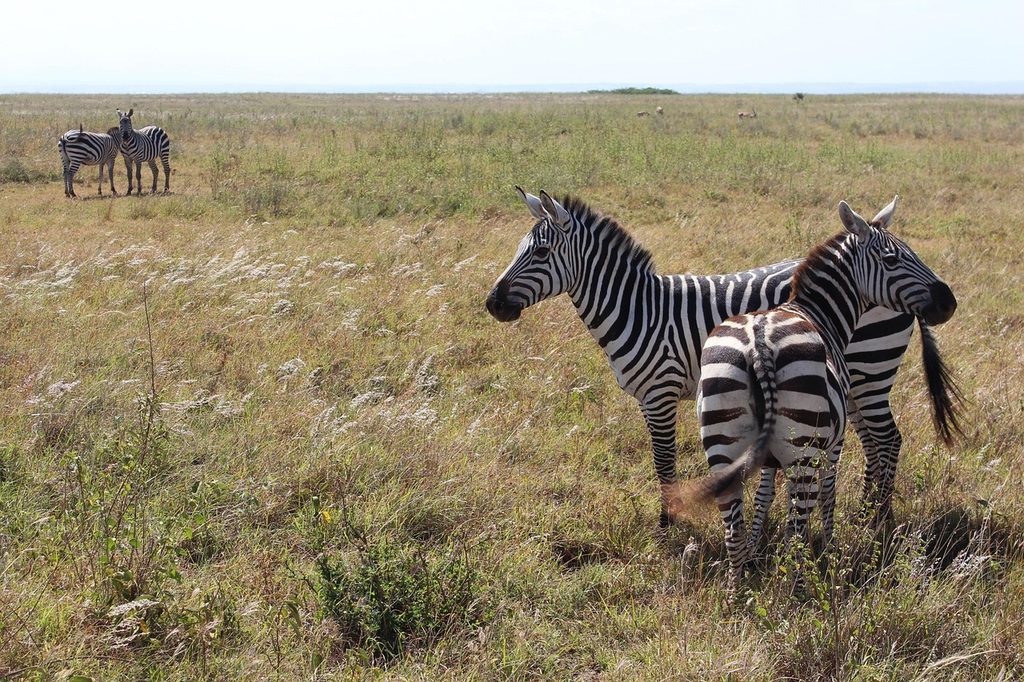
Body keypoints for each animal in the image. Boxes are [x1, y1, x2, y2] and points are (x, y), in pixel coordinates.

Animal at [485, 189, 962, 529]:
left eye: (540, 253)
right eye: (522, 248)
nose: (493, 304)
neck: (639, 309)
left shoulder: (659, 394)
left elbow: (664, 462)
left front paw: (667, 527)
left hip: (870, 369)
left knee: (887, 439)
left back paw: (877, 521)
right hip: (854, 380)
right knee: (874, 442)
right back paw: (866, 515)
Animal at [661, 198, 956, 581]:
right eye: (892, 260)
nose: (949, 302)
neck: (818, 312)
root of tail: (758, 344)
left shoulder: (768, 451)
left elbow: (766, 492)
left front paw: (758, 543)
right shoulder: (833, 442)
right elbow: (828, 491)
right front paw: (829, 544)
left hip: (722, 436)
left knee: (732, 529)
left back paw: (738, 586)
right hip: (804, 447)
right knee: (800, 523)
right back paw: (802, 579)